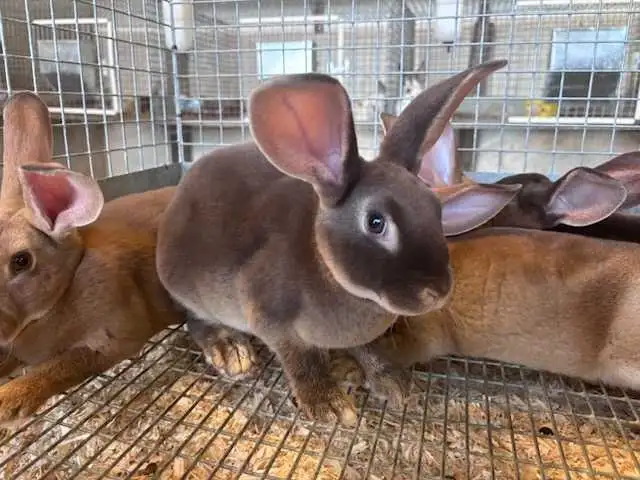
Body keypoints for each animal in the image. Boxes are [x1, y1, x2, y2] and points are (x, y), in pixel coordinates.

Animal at [155, 60, 516, 424]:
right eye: (376, 223)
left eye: (436, 211)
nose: (438, 292)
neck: (330, 269)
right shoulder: (272, 319)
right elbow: (300, 362)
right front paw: (327, 404)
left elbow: (368, 349)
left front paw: (393, 382)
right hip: (191, 290)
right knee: (195, 319)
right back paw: (229, 348)